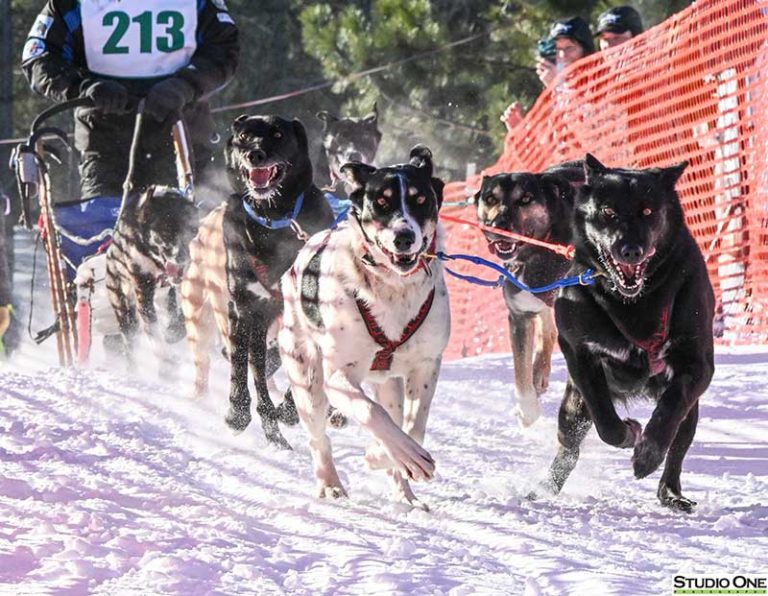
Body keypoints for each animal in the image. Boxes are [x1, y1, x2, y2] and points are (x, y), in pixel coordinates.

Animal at [105, 186, 201, 372]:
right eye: (165, 232)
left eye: (190, 230)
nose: (181, 257)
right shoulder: (143, 288)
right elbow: (152, 328)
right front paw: (165, 355)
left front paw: (175, 331)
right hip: (124, 308)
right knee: (130, 340)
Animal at [183, 114, 336, 448]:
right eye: (243, 136)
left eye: (278, 134)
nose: (255, 154)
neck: (273, 219)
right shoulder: (245, 308)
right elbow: (242, 369)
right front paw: (237, 414)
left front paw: (291, 410)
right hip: (210, 316)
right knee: (232, 366)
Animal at [280, 144, 450, 508]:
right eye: (381, 202)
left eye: (420, 199)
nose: (404, 237)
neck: (392, 288)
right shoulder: (339, 377)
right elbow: (371, 412)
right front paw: (390, 454)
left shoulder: (426, 366)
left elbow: (414, 427)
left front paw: (391, 456)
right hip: (308, 382)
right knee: (319, 439)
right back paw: (330, 483)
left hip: (388, 384)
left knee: (393, 416)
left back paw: (405, 495)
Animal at [474, 172, 576, 428]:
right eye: (490, 198)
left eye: (526, 199)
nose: (499, 226)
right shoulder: (520, 317)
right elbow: (521, 370)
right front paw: (527, 410)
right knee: (547, 331)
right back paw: (538, 374)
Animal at [532, 154, 716, 512]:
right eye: (608, 211)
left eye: (647, 211)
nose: (630, 250)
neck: (634, 303)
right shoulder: (578, 352)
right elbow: (606, 421)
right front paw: (629, 434)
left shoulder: (697, 365)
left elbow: (670, 410)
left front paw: (647, 453)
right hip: (572, 408)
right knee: (568, 447)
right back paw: (543, 489)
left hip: (692, 413)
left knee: (678, 446)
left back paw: (671, 493)